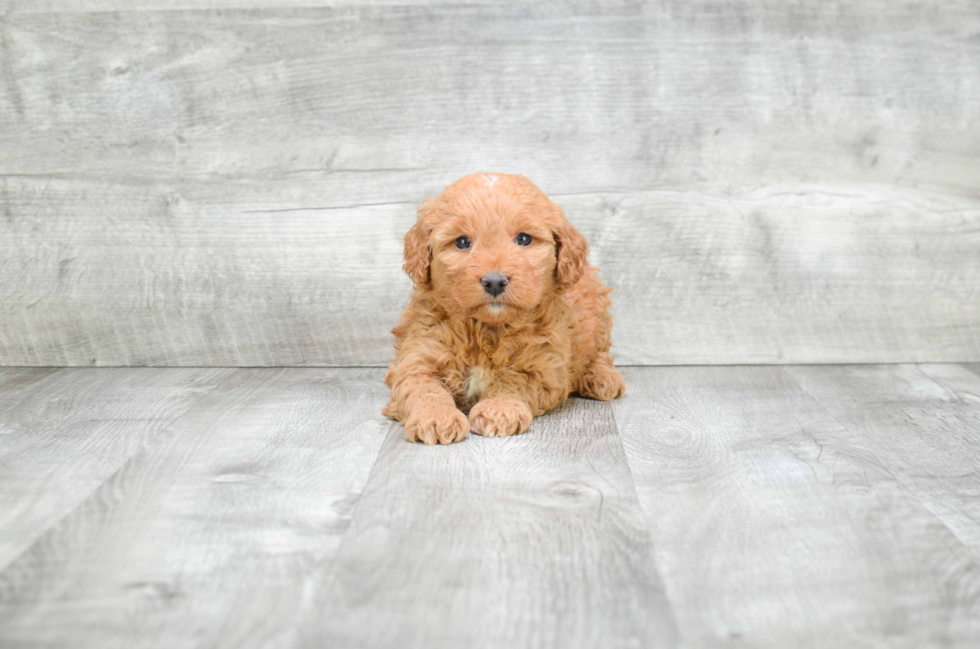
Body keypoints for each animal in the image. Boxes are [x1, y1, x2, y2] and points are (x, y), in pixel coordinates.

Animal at [384, 172, 628, 446]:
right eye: (462, 242)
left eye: (523, 239)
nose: (494, 281)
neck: (487, 328)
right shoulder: (419, 353)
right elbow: (424, 388)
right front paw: (436, 417)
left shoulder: (543, 366)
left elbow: (512, 381)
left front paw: (499, 409)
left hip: (597, 313)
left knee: (600, 353)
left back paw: (602, 379)